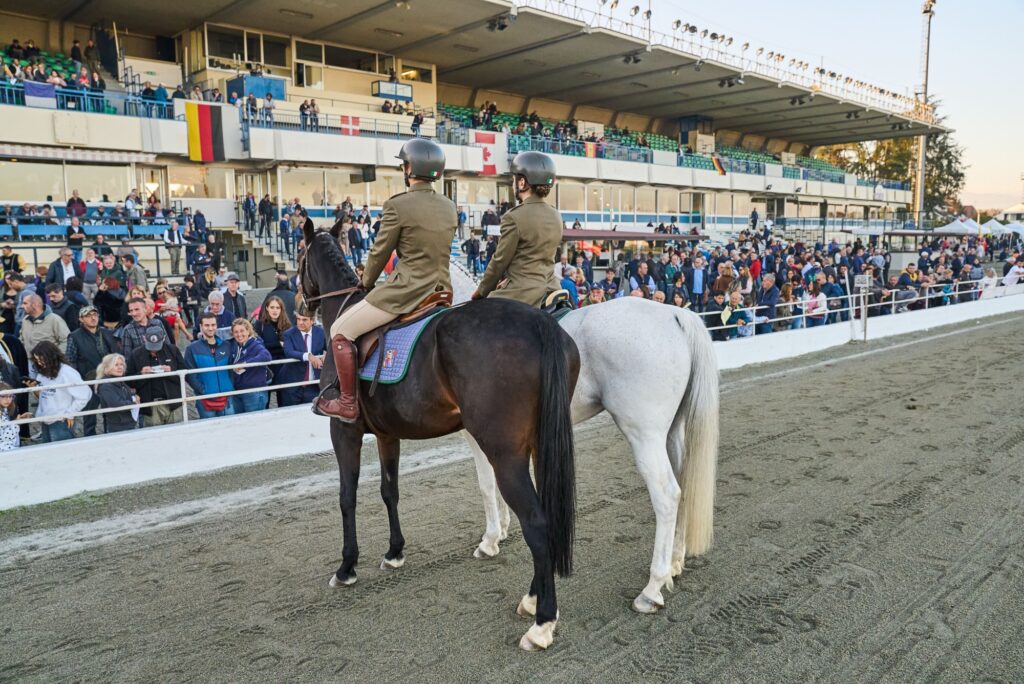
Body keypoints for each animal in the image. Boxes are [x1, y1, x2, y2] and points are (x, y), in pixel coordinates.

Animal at [299, 222, 581, 651]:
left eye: (299, 261)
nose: (300, 309)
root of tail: (541, 322)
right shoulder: (388, 435)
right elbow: (389, 490)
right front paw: (395, 552)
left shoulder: (343, 431)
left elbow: (347, 497)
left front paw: (347, 567)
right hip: (537, 446)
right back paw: (533, 600)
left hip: (506, 453)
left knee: (536, 521)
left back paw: (542, 622)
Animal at [466, 296, 720, 614]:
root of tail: (675, 313)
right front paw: (501, 530)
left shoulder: (481, 436)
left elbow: (486, 486)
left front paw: (489, 540)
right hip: (671, 433)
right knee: (685, 485)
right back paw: (674, 561)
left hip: (645, 436)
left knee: (667, 496)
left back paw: (651, 589)